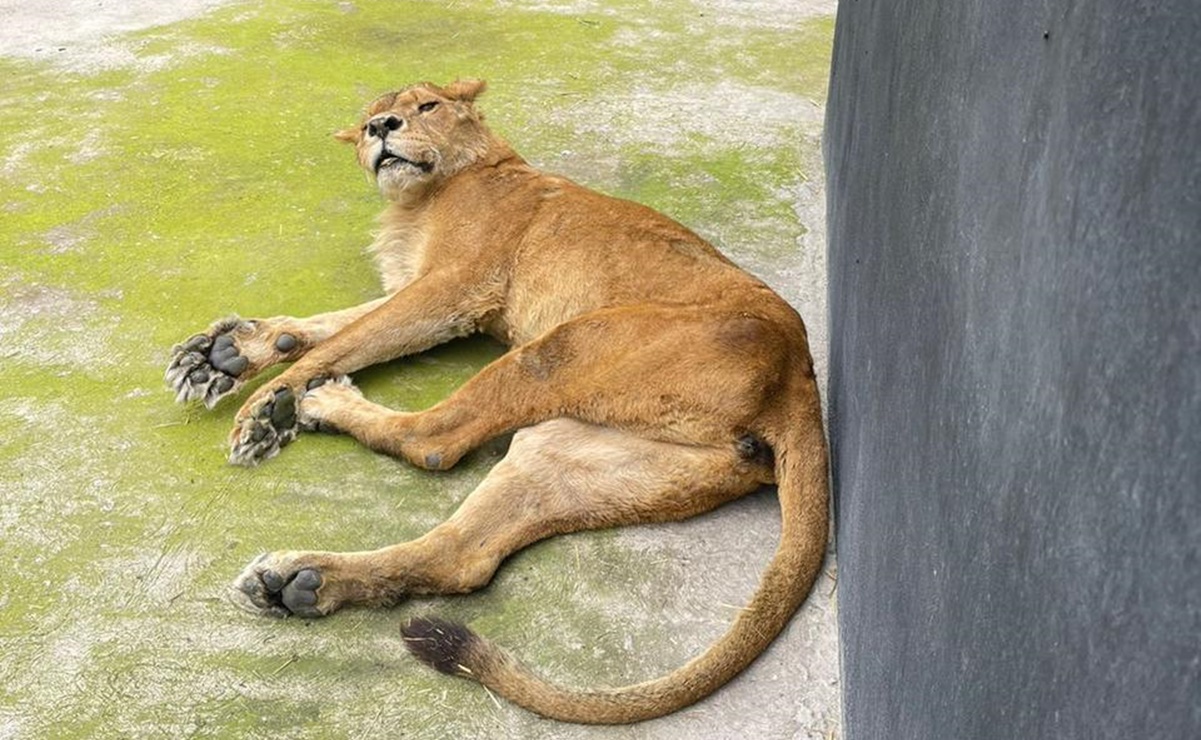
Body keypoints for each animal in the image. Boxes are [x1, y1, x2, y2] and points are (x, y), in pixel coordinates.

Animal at [164, 79, 831, 720]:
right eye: (367, 120)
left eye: (426, 106)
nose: (381, 128)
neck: (422, 197)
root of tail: (799, 383)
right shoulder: (426, 290)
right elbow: (335, 326)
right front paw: (223, 356)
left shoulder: (455, 286)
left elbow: (347, 338)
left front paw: (266, 406)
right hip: (570, 453)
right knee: (461, 552)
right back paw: (298, 583)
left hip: (563, 344)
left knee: (433, 441)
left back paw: (322, 409)